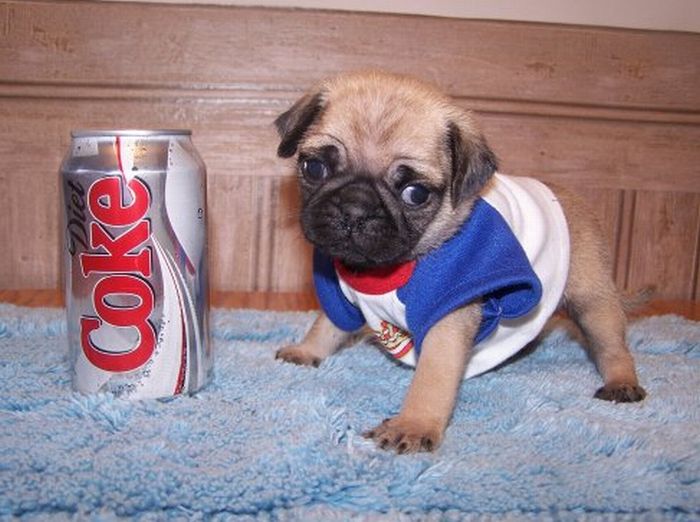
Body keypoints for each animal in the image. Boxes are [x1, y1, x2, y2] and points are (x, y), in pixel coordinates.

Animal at [272, 69, 644, 450]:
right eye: (314, 168)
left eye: (415, 194)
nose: (354, 208)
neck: (388, 271)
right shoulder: (341, 297)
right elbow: (328, 326)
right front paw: (306, 350)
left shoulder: (447, 316)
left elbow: (432, 378)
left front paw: (414, 424)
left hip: (591, 298)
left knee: (611, 343)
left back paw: (621, 381)